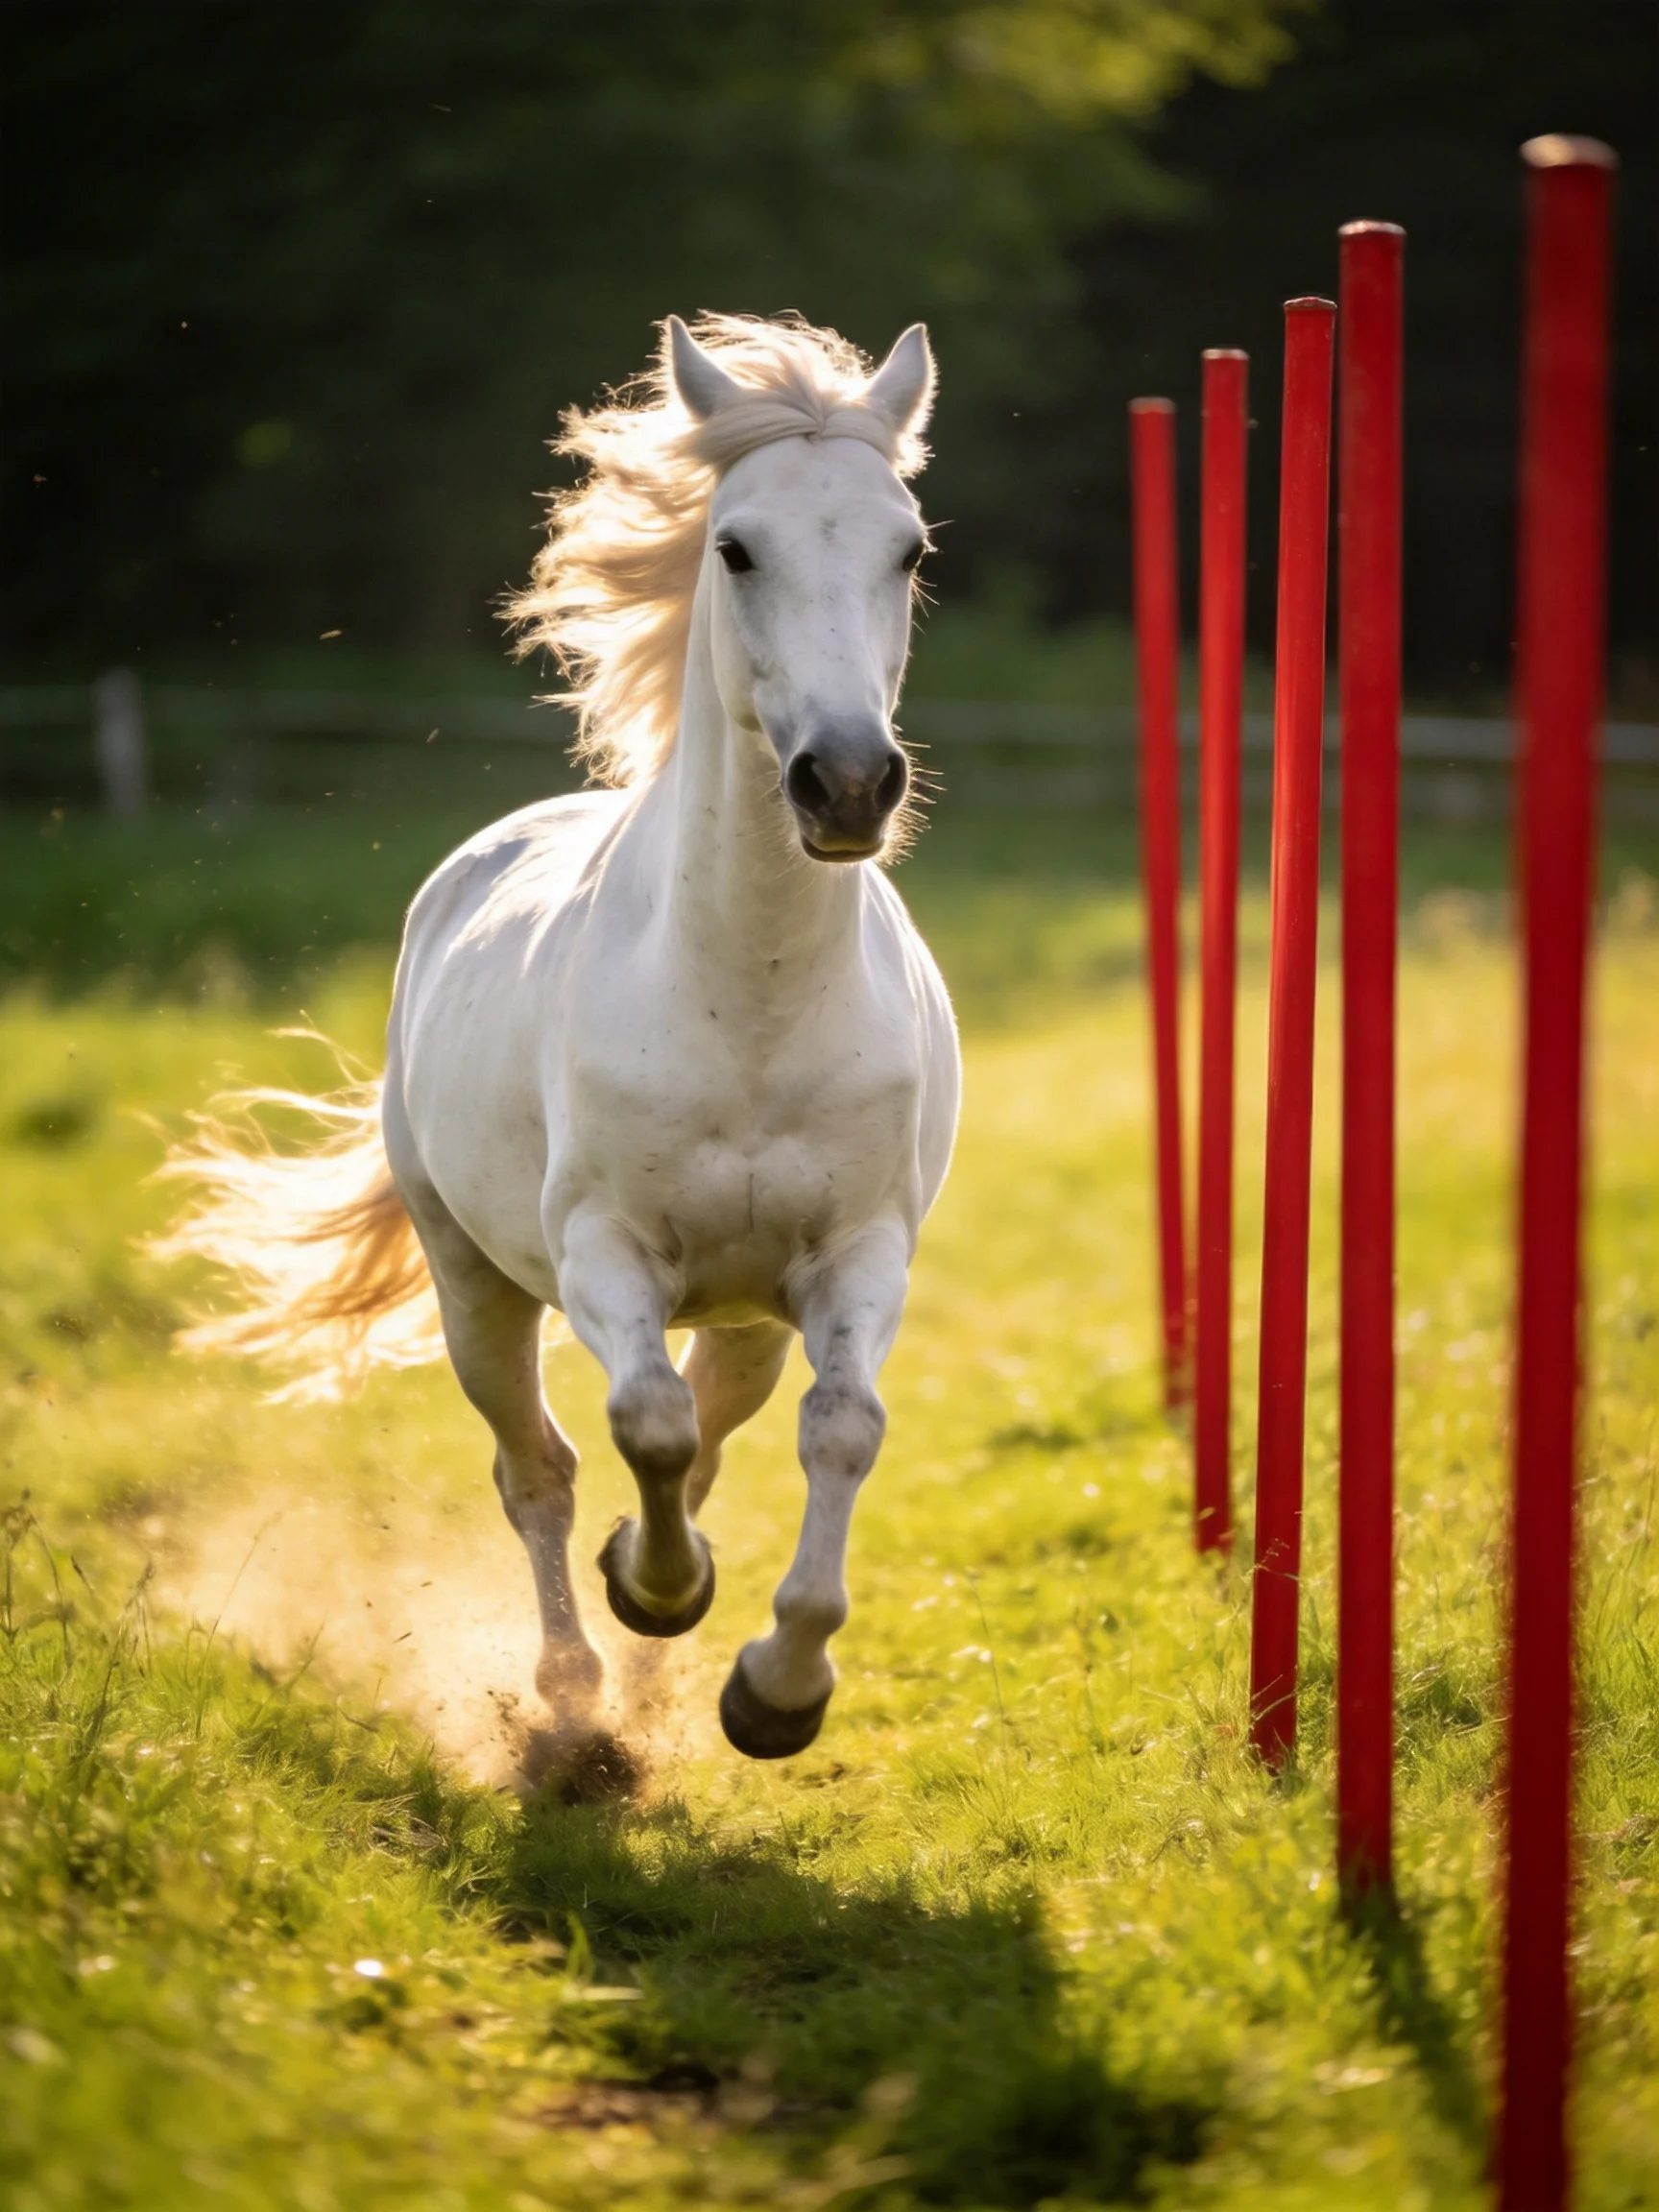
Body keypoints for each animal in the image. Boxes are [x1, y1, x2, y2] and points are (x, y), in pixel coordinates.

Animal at [160, 313, 961, 1764]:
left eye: (909, 549)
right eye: (735, 547)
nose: (849, 785)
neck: (747, 1004)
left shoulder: (854, 1257)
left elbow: (839, 1430)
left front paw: (776, 1690)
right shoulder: (603, 1254)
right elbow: (640, 1427)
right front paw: (657, 1592)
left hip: (749, 1319)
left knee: (714, 1432)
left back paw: (646, 1686)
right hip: (473, 1285)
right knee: (539, 1466)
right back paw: (581, 1693)